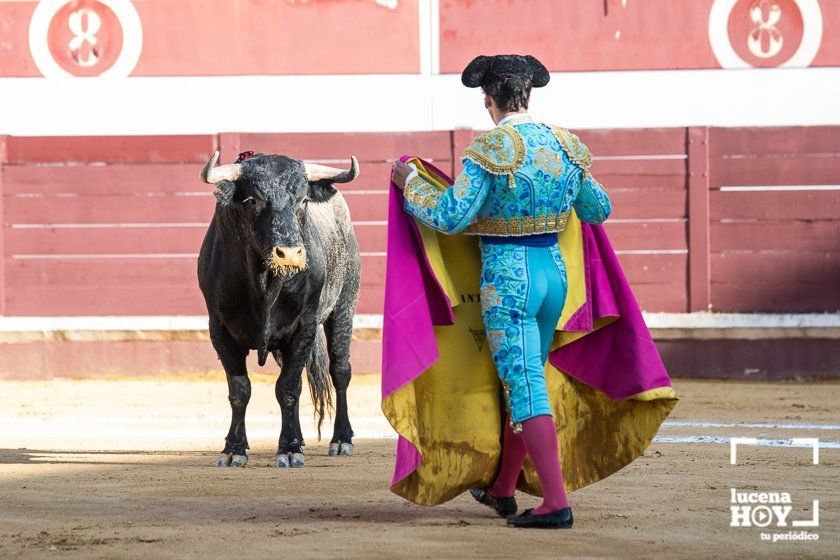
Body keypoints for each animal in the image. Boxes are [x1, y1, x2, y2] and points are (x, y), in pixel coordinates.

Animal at [200, 152, 364, 468]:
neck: (265, 284)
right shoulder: (219, 330)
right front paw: (233, 449)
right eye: (252, 200)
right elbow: (240, 389)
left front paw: (289, 449)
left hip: (344, 305)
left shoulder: (305, 326)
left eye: (302, 200)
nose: (288, 254)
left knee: (340, 370)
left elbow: (287, 387)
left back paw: (341, 439)